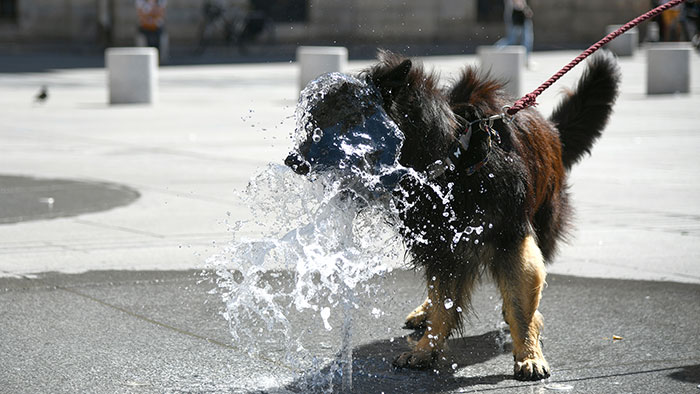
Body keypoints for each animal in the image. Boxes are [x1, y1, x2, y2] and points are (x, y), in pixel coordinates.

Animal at [284, 50, 616, 380]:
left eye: (346, 120)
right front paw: (425, 349)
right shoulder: (440, 243)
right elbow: (443, 302)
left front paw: (529, 354)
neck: (450, 160)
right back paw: (424, 312)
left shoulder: (510, 238)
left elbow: (520, 306)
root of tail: (551, 130)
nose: (292, 161)